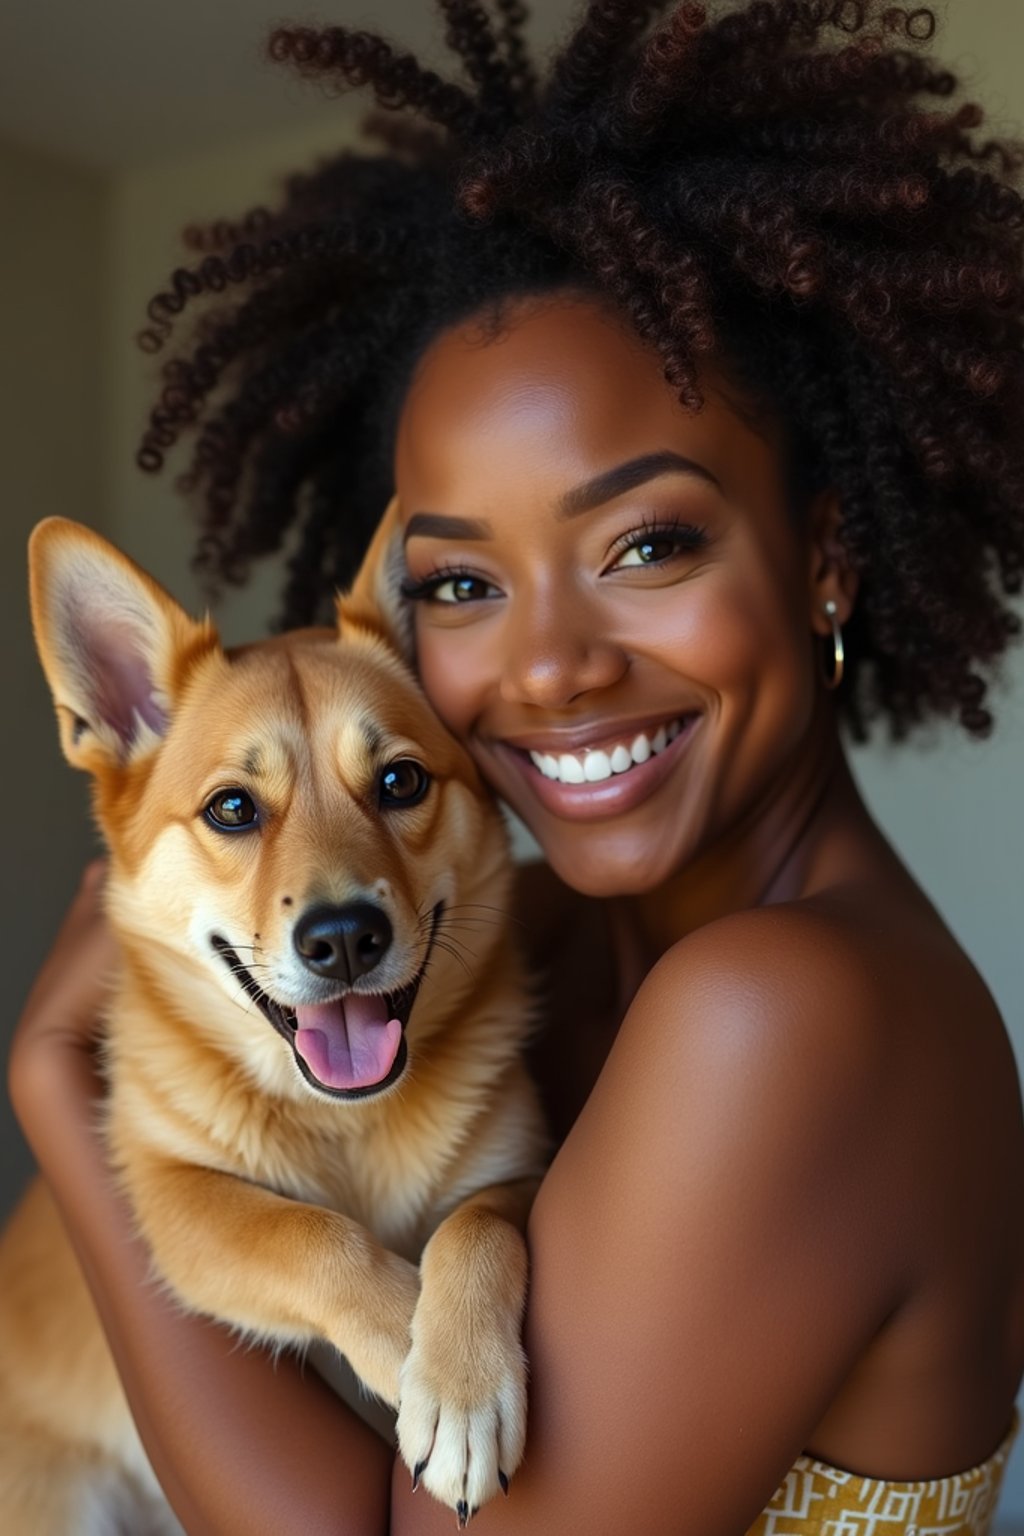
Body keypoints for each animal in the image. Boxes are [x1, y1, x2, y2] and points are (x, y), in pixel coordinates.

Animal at [0, 513, 549, 1536]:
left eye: (401, 781)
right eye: (231, 808)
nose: (343, 939)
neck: (348, 1119)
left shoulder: (525, 1170)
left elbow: (479, 1226)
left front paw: (457, 1381)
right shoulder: (171, 1199)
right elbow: (308, 1235)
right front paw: (406, 1341)